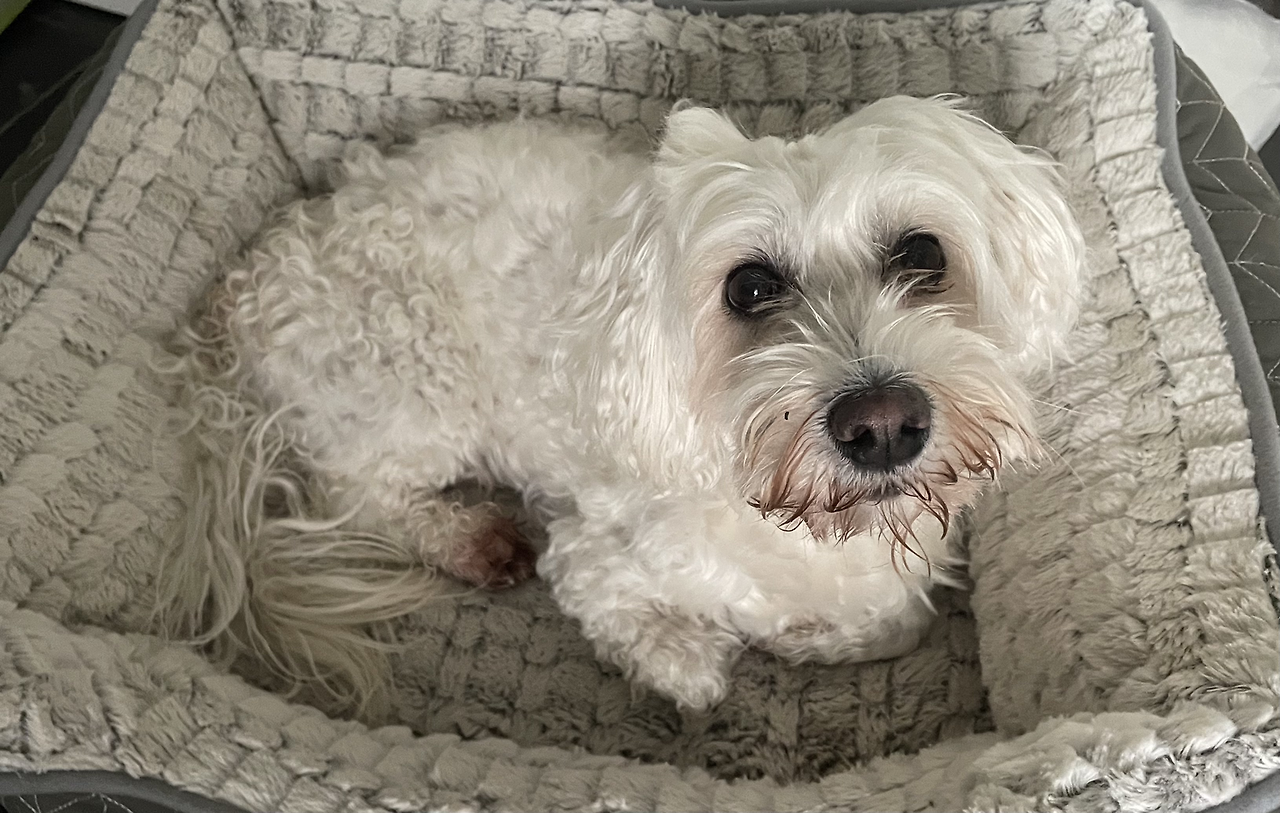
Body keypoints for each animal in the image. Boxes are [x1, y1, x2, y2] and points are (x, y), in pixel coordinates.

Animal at [161, 96, 1084, 714]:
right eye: (750, 286)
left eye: (921, 252)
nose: (882, 422)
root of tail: (249, 274)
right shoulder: (593, 552)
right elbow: (679, 651)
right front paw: (692, 652)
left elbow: (893, 622)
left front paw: (807, 633)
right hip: (409, 373)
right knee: (359, 492)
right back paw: (469, 538)